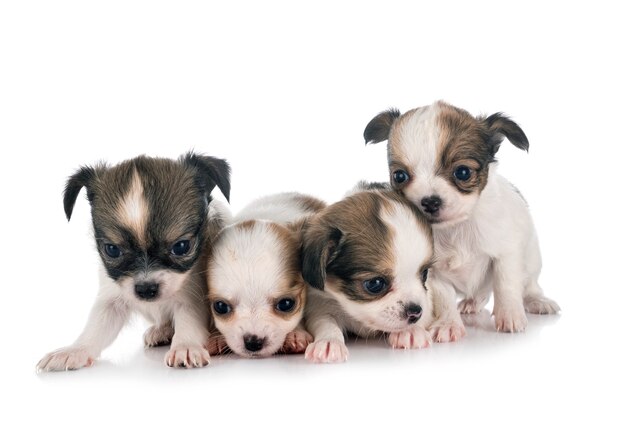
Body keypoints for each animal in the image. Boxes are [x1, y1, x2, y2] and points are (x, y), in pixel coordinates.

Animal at [36, 152, 229, 370]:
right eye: (112, 250)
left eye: (181, 246)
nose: (146, 289)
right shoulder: (112, 299)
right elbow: (96, 328)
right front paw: (74, 351)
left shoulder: (191, 296)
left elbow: (189, 322)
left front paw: (185, 347)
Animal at [300, 189, 436, 362]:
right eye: (375, 284)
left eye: (424, 274)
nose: (415, 311)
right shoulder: (322, 304)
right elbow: (325, 321)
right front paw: (329, 341)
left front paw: (410, 331)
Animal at [364, 100, 560, 334]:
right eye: (399, 176)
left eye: (463, 172)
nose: (429, 201)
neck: (457, 227)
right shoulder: (433, 273)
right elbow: (444, 298)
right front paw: (448, 324)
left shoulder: (506, 253)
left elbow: (506, 284)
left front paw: (510, 315)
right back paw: (471, 303)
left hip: (531, 260)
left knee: (529, 285)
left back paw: (537, 301)